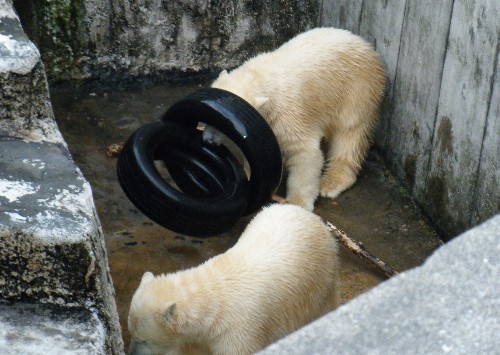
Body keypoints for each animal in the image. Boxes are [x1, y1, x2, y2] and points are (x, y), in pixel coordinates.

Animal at [128, 204, 340, 354]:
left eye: (143, 340)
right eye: (131, 333)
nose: (132, 354)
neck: (212, 304)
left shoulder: (238, 330)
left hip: (318, 281)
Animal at [205, 28, 384, 211]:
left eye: (224, 125)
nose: (208, 140)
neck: (263, 79)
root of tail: (365, 44)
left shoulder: (290, 112)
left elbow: (304, 152)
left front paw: (297, 203)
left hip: (356, 90)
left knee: (349, 134)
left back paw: (331, 183)